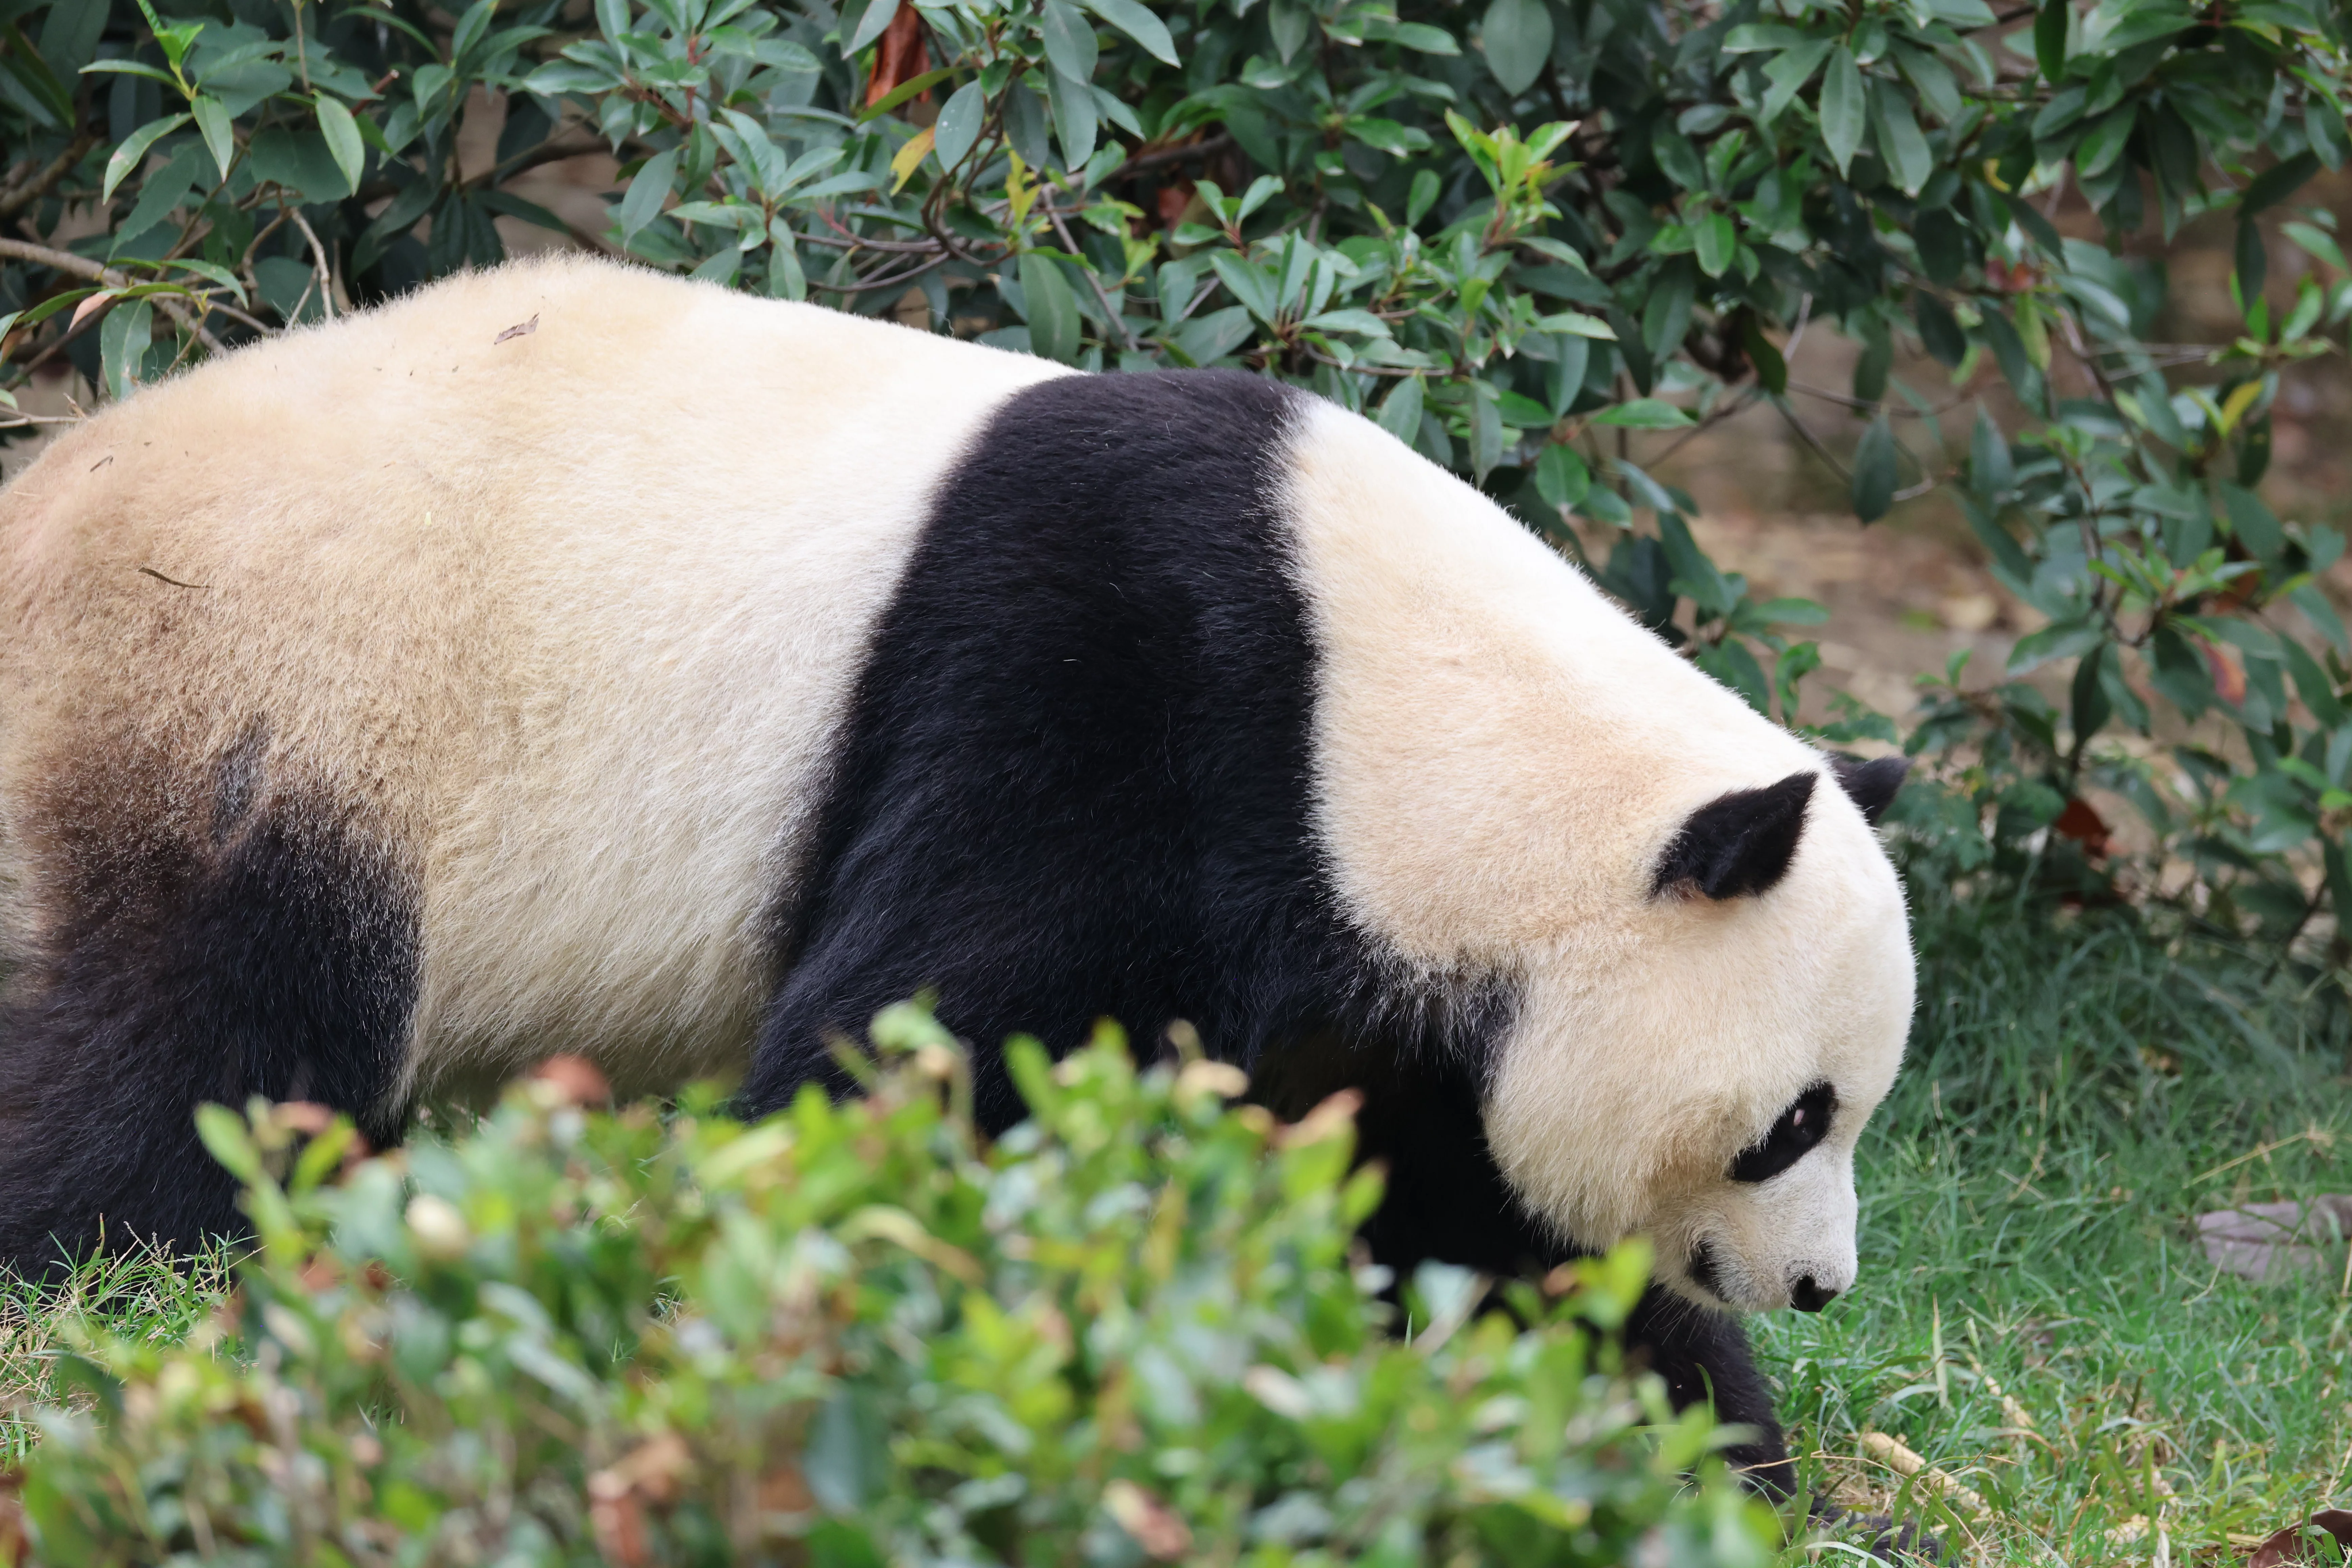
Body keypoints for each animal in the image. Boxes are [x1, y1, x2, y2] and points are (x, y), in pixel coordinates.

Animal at [0, 253, 1913, 1498]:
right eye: (1792, 1121)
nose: (1821, 1285)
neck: (1399, 706)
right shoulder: (1113, 699)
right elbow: (921, 1053)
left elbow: (1451, 1196)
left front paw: (1703, 1446)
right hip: (275, 706)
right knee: (196, 1041)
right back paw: (117, 1273)